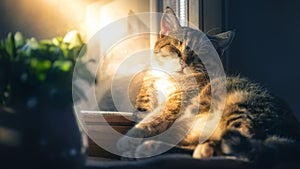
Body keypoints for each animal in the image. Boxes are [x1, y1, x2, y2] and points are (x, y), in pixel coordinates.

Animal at [116, 6, 300, 168]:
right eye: (175, 47)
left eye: (200, 54)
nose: (184, 62)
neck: (169, 79)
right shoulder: (145, 105)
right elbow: (144, 117)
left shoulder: (173, 107)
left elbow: (151, 122)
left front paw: (128, 140)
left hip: (238, 109)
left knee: (239, 149)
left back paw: (151, 148)